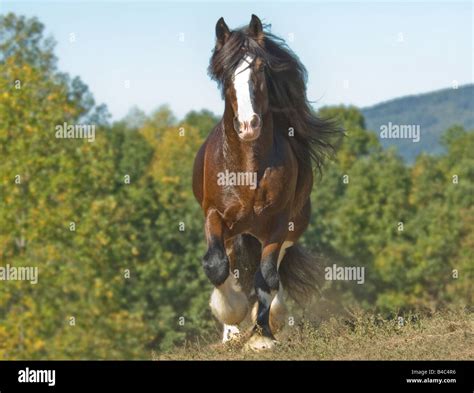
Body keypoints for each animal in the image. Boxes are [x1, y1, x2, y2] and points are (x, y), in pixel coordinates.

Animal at [191, 13, 342, 350]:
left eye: (261, 68)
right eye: (224, 72)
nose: (249, 125)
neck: (248, 169)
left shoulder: (278, 223)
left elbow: (267, 276)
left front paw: (262, 336)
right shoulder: (214, 215)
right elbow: (217, 265)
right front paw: (232, 317)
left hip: (289, 227)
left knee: (275, 269)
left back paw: (273, 316)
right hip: (236, 231)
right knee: (232, 263)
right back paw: (232, 330)